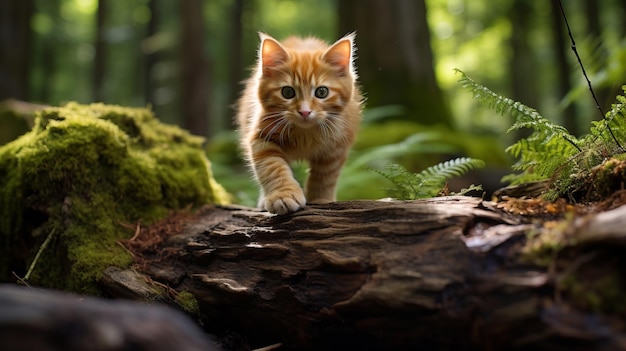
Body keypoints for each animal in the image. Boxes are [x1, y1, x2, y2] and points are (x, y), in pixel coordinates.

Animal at [234, 33, 360, 214]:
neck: (305, 133)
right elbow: (273, 168)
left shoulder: (336, 147)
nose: (305, 111)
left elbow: (325, 176)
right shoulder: (261, 138)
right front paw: (283, 195)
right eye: (287, 92)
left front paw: (321, 200)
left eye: (322, 92)